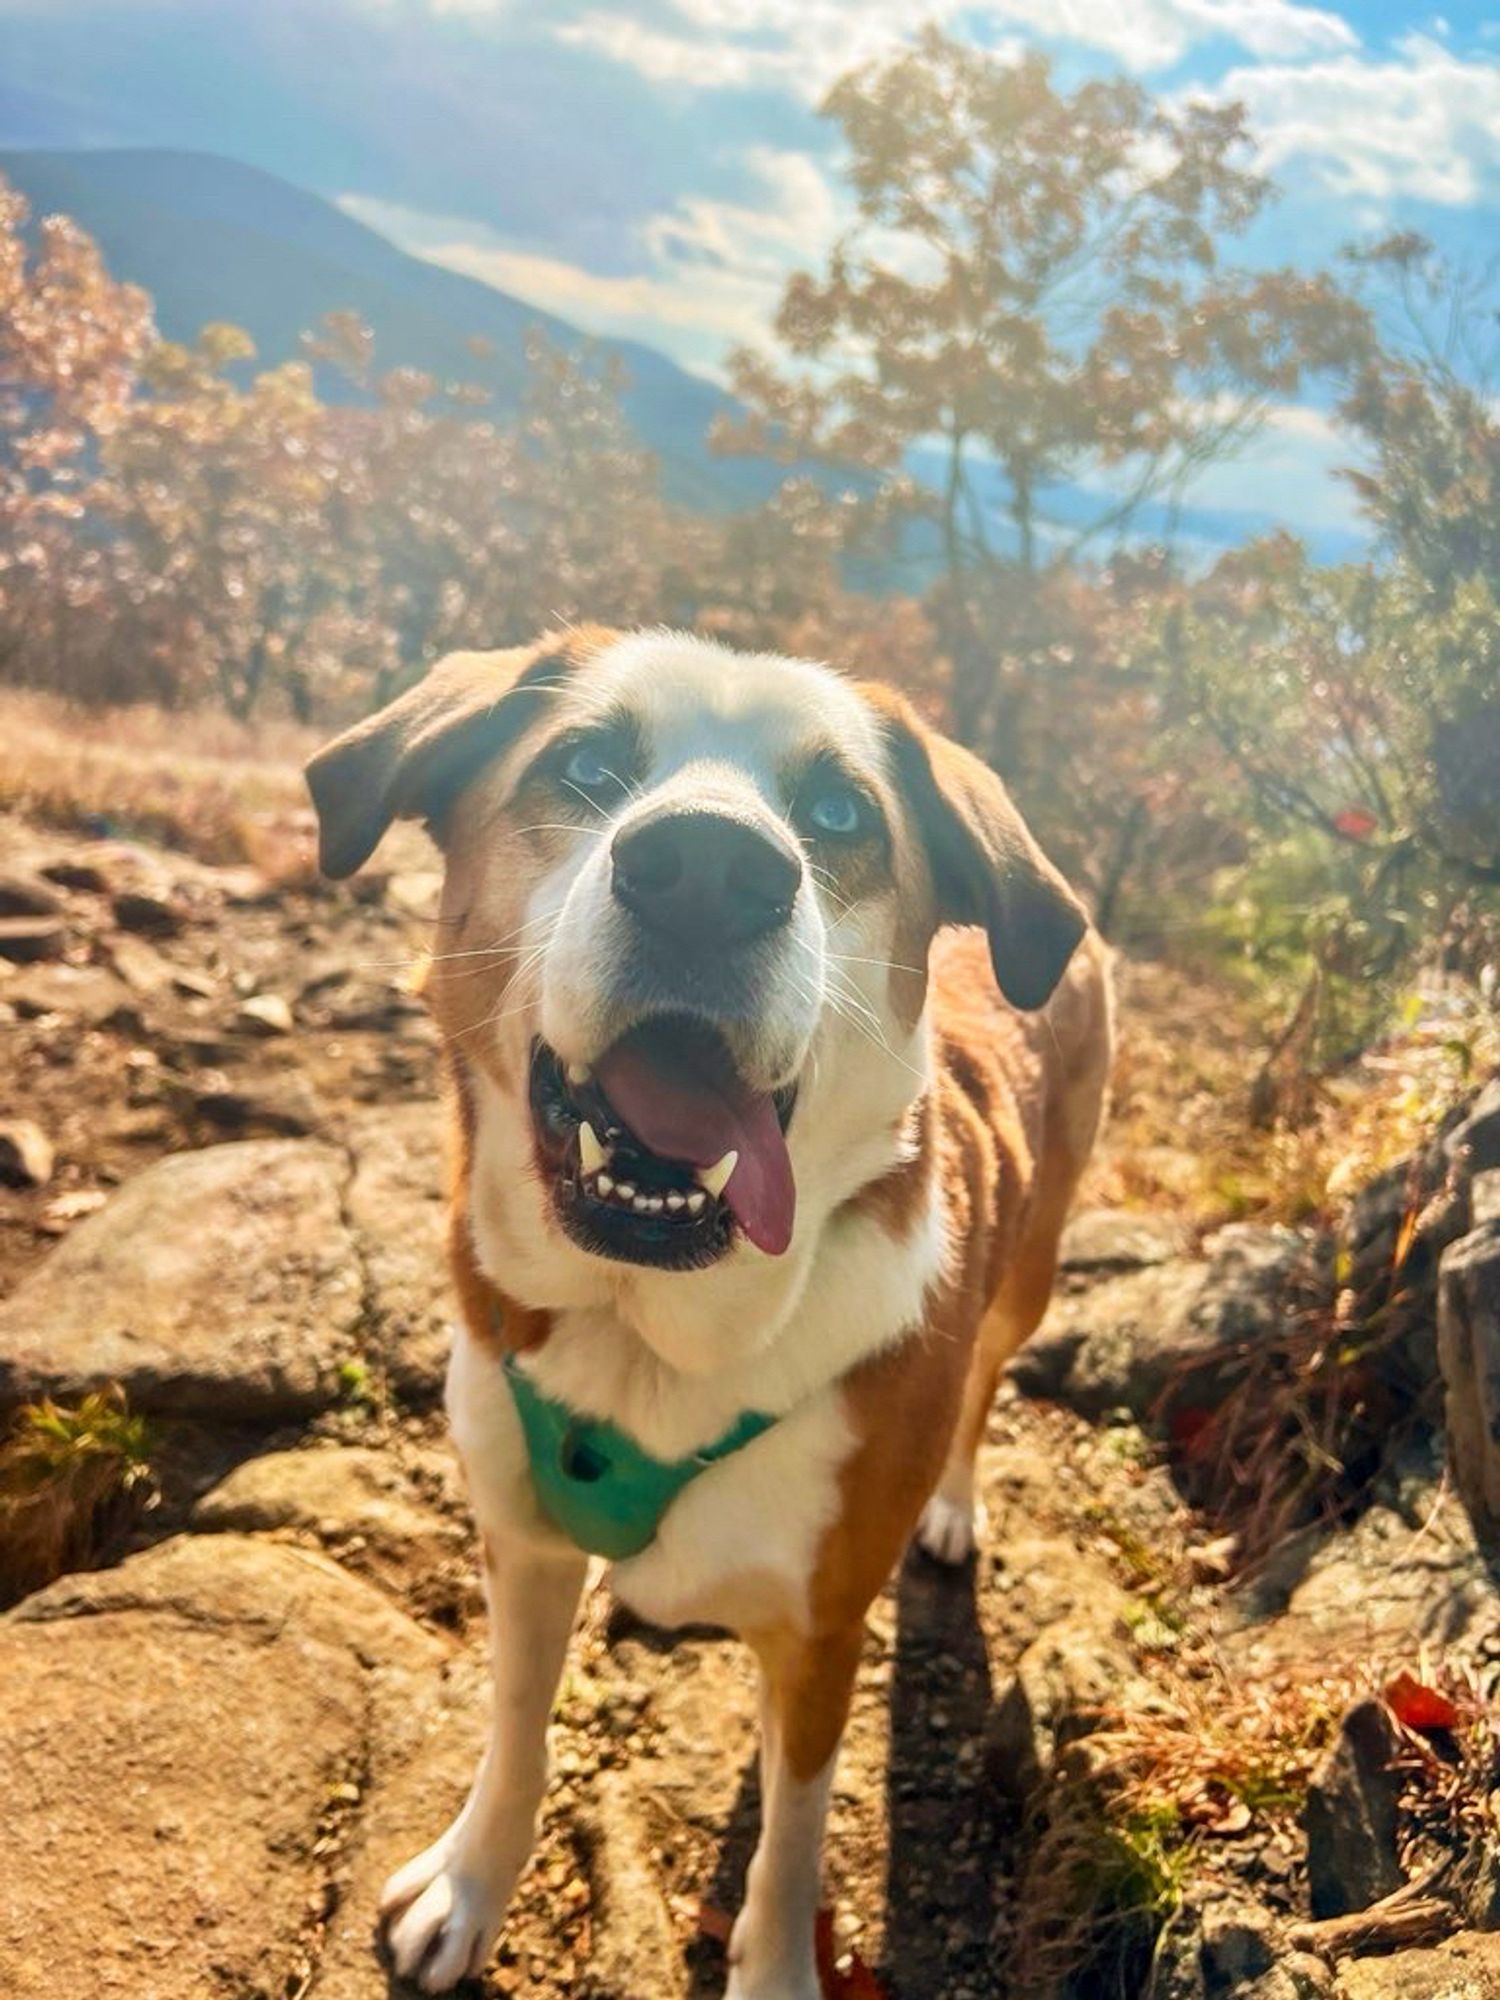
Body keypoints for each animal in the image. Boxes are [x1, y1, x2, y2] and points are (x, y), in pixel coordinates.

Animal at [306, 628, 1120, 2000]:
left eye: (840, 812)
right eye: (587, 763)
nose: (707, 871)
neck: (652, 1327)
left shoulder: (826, 1623)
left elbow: (793, 1837)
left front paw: (776, 1964)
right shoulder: (520, 1542)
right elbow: (518, 1726)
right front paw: (471, 1883)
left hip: (1031, 1273)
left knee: (984, 1384)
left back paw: (953, 1504)